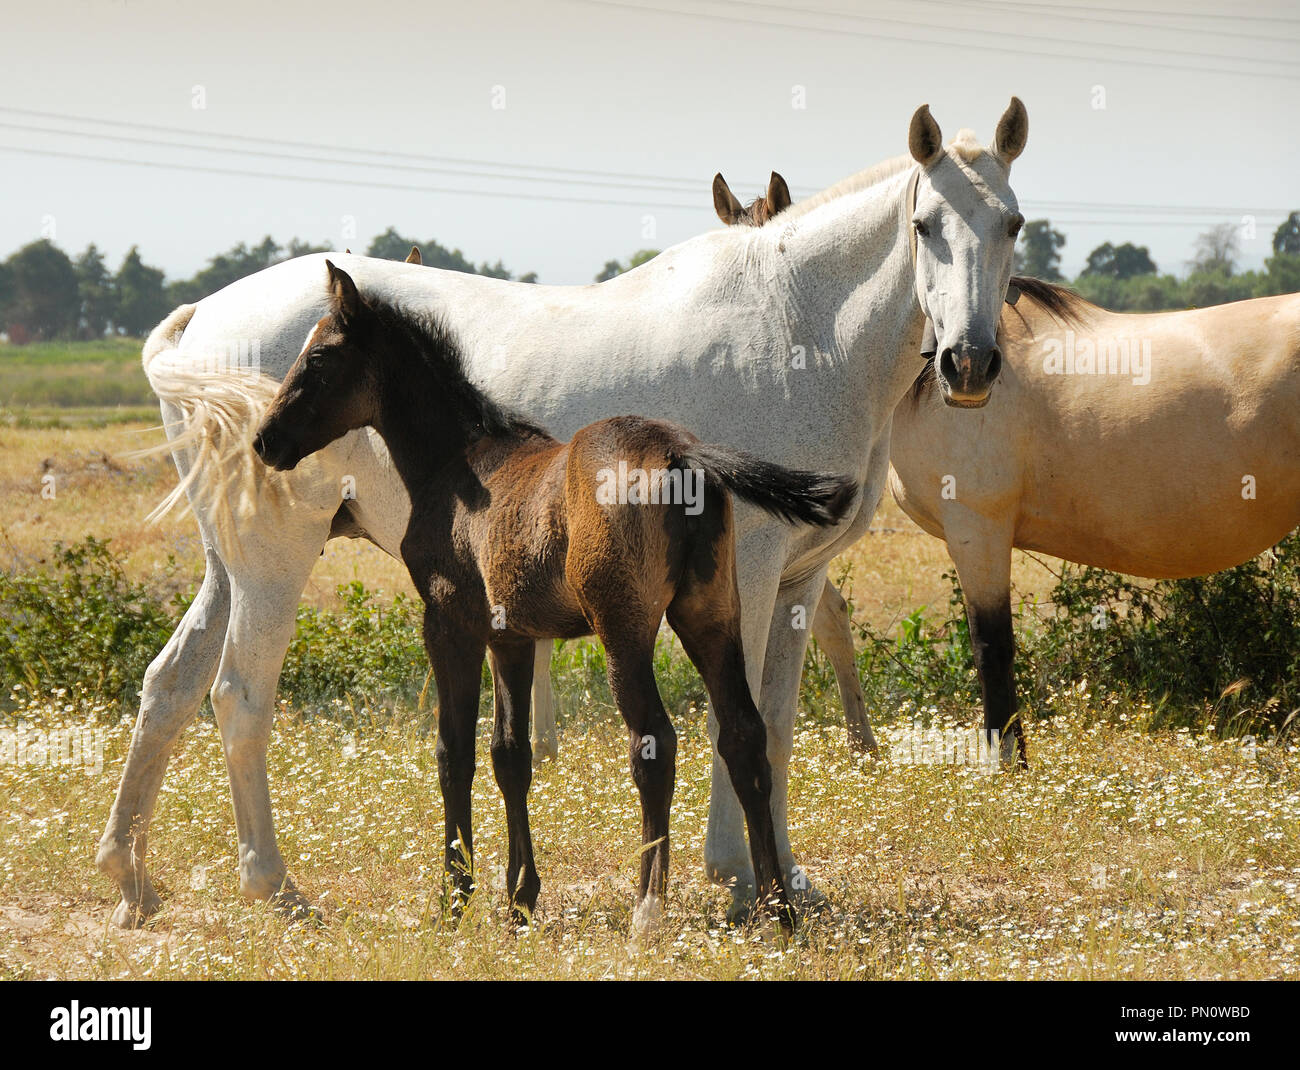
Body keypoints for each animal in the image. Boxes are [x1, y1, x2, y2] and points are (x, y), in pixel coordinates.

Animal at [257, 263, 857, 930]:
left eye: (319, 356)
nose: (265, 440)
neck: (456, 465)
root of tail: (680, 451)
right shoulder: (512, 637)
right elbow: (510, 755)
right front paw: (520, 897)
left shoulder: (449, 624)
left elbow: (454, 753)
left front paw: (454, 897)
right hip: (712, 615)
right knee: (744, 735)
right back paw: (779, 905)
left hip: (626, 628)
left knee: (654, 743)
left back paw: (647, 910)